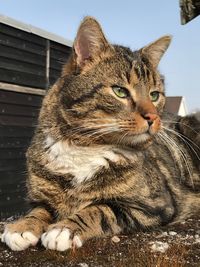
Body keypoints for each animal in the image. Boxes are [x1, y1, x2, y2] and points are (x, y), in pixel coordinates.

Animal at [1, 16, 198, 251]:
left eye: (154, 95)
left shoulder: (154, 205)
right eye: (120, 91)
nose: (152, 117)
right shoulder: (41, 195)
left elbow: (100, 209)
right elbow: (39, 209)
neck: (85, 146)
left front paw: (64, 229)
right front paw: (22, 227)